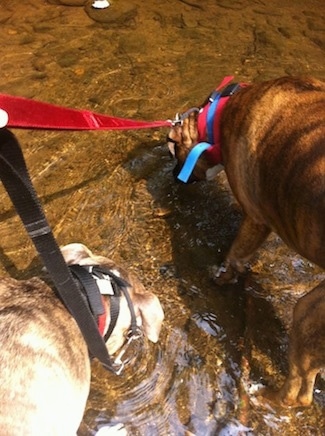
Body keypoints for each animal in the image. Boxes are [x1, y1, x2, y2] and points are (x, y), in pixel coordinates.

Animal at [167, 76, 324, 408]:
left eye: (173, 152)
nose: (174, 176)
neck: (222, 112)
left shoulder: (254, 220)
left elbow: (234, 255)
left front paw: (221, 277)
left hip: (308, 313)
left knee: (297, 393)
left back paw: (263, 397)